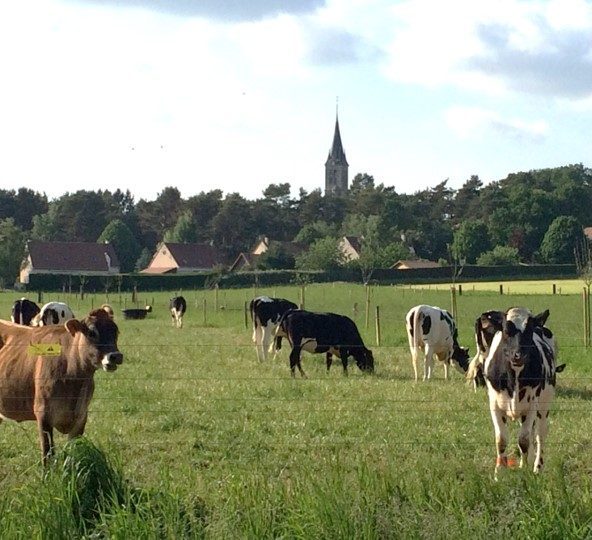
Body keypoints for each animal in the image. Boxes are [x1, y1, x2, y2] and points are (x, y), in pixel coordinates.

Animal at [0, 308, 123, 464]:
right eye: (91, 332)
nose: (116, 356)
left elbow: (73, 452)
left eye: (116, 331)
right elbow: (48, 453)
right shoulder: (43, 414)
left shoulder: (81, 417)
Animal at [480, 306, 560, 478]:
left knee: (539, 435)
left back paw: (537, 466)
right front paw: (499, 471)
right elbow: (501, 439)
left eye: (529, 330)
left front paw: (525, 469)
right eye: (505, 330)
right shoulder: (494, 404)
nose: (518, 355)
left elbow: (523, 439)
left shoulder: (532, 405)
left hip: (544, 405)